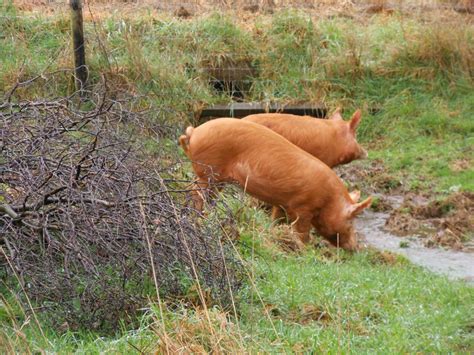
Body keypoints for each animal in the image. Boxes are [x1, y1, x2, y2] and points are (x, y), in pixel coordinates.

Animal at [180, 118, 372, 252]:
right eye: (351, 222)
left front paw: (275, 235)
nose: (355, 248)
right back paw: (197, 217)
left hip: (216, 179)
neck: (329, 199)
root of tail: (195, 132)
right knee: (195, 192)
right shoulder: (303, 208)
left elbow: (276, 219)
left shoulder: (282, 204)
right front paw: (305, 249)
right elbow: (302, 231)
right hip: (208, 172)